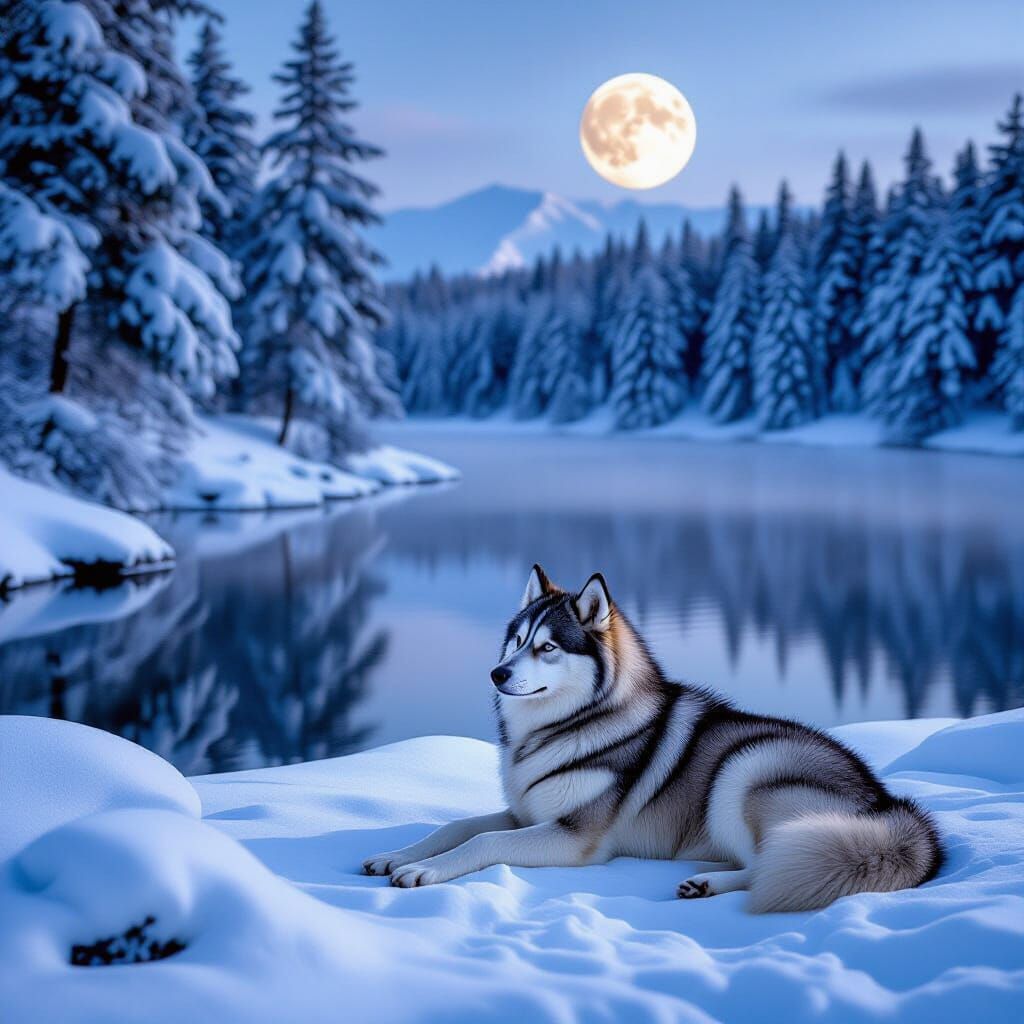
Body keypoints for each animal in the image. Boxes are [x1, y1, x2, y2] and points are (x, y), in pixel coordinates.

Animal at [364, 565, 943, 912]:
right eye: (518, 639)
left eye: (549, 648)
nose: (496, 674)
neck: (568, 726)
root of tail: (892, 806)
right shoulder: (524, 812)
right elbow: (458, 826)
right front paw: (396, 855)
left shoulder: (573, 836)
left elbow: (483, 842)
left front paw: (421, 871)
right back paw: (703, 879)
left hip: (742, 768)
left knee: (774, 864)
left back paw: (713, 885)